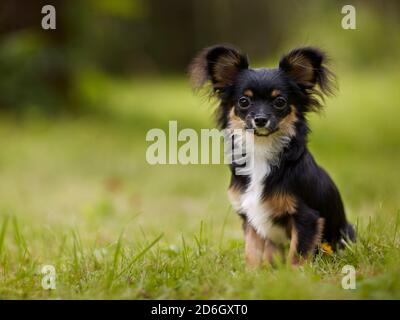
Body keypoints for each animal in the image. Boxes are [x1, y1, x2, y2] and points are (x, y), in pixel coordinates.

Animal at [189, 44, 354, 264]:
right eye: (244, 101)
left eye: (280, 102)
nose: (260, 119)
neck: (261, 148)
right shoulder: (250, 217)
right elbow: (252, 253)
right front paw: (253, 272)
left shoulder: (306, 217)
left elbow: (297, 254)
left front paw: (294, 272)